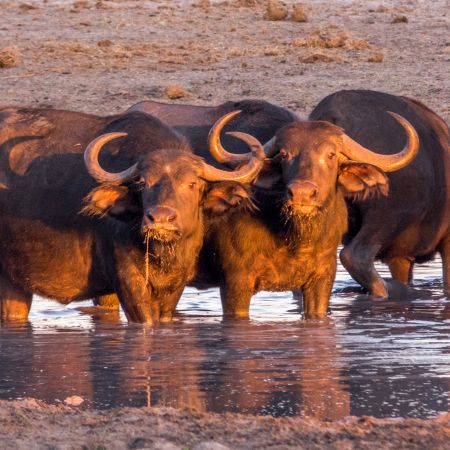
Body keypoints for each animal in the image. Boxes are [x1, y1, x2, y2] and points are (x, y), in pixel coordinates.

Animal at [0, 105, 264, 324]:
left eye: (192, 184)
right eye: (143, 183)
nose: (160, 219)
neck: (161, 255)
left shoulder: (177, 284)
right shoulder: (127, 281)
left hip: (14, 284)